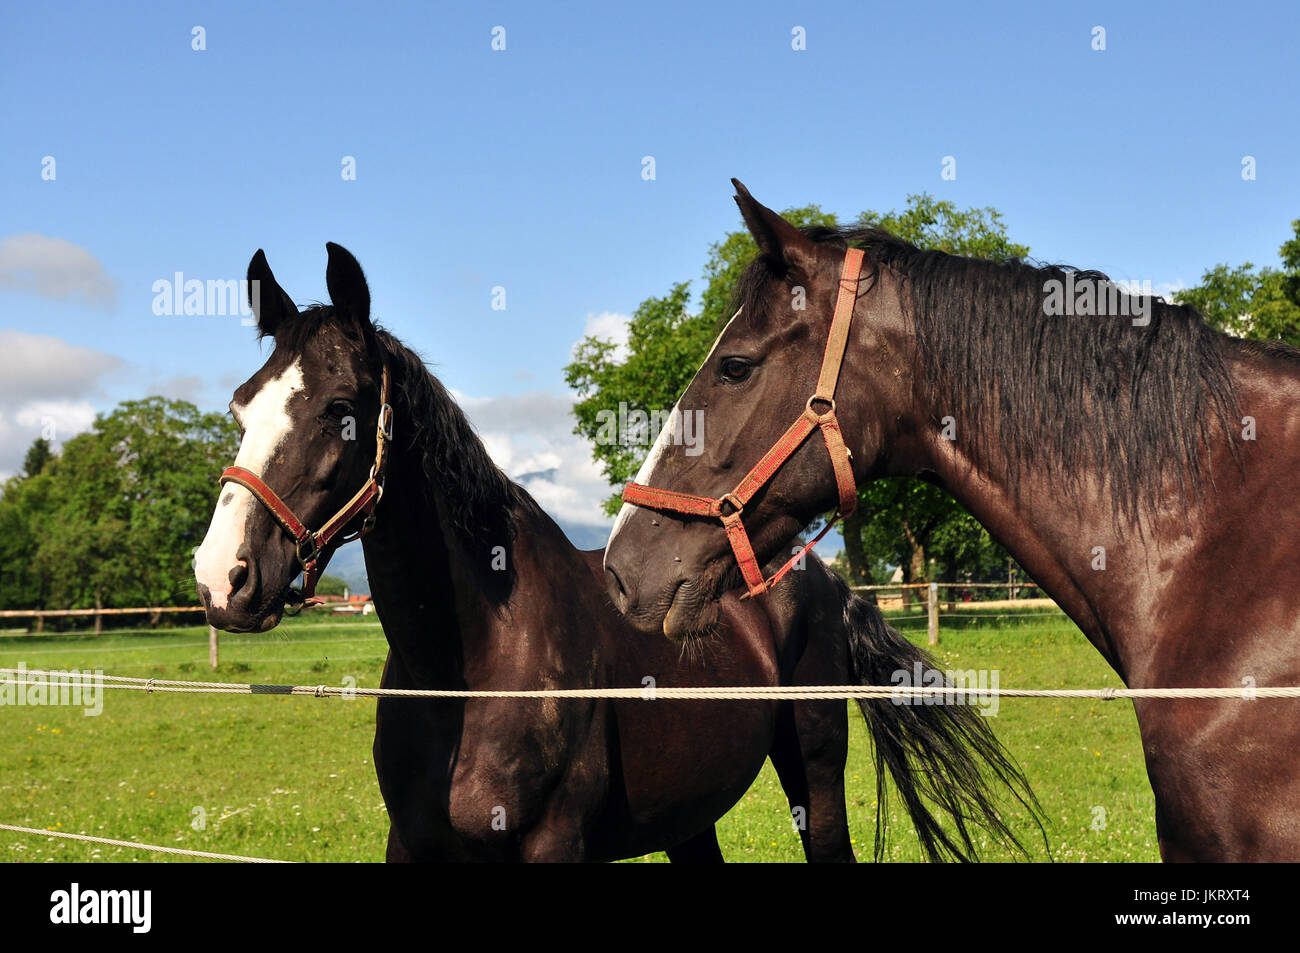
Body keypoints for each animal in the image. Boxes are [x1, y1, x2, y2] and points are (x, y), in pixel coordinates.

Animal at [192, 239, 1034, 863]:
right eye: (241, 405)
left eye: (340, 408)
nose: (222, 575)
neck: (467, 670)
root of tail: (817, 576)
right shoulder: (414, 844)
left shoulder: (551, 845)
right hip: (690, 815)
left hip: (817, 777)